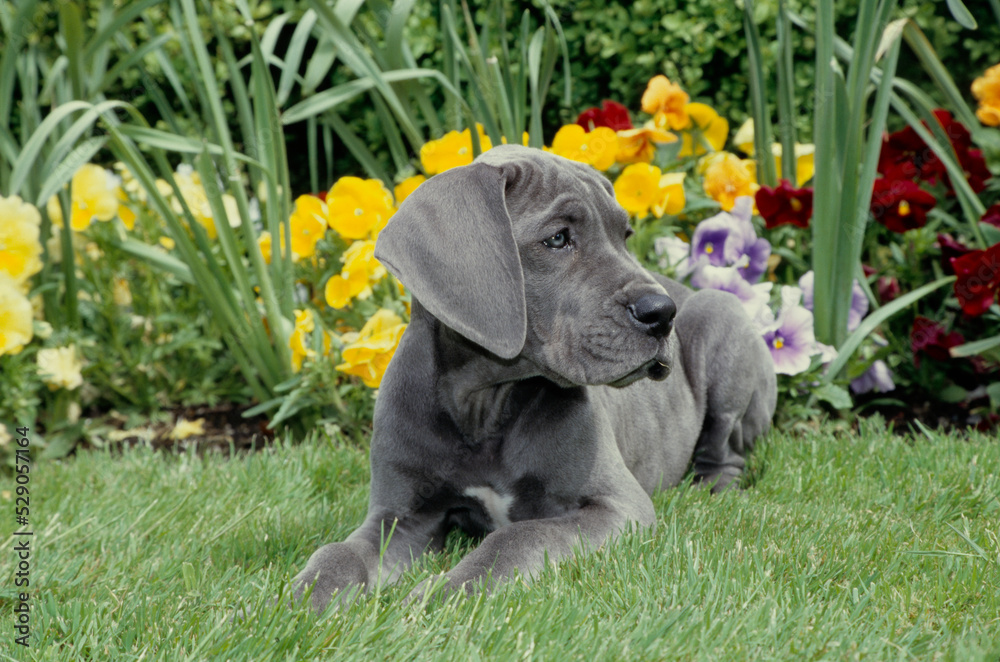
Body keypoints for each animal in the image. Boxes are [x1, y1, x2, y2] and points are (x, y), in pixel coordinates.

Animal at [288, 144, 772, 612]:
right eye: (557, 238)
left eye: (625, 236)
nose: (662, 312)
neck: (484, 401)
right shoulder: (400, 515)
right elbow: (339, 552)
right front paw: (302, 599)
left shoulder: (618, 506)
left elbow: (519, 535)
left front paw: (446, 594)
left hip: (721, 320)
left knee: (726, 450)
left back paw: (713, 489)